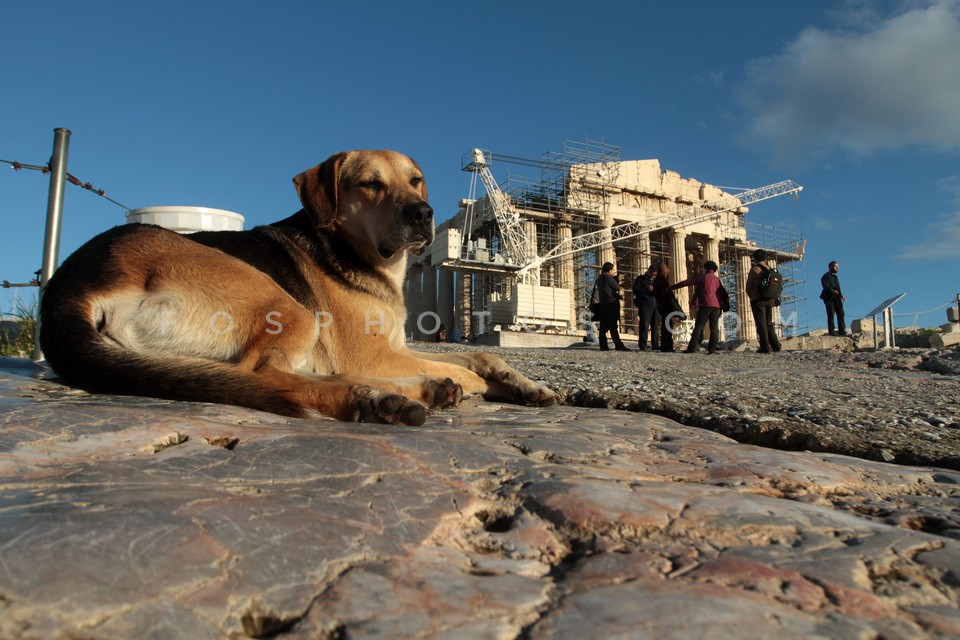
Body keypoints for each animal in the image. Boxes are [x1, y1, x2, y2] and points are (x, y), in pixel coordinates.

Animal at [39, 151, 564, 424]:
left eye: (416, 180)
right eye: (369, 184)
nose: (423, 213)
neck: (359, 255)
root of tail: (69, 287)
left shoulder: (394, 347)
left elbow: (478, 355)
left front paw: (525, 385)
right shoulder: (372, 353)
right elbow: (465, 366)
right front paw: (480, 385)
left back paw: (407, 392)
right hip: (286, 304)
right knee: (265, 376)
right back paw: (383, 397)